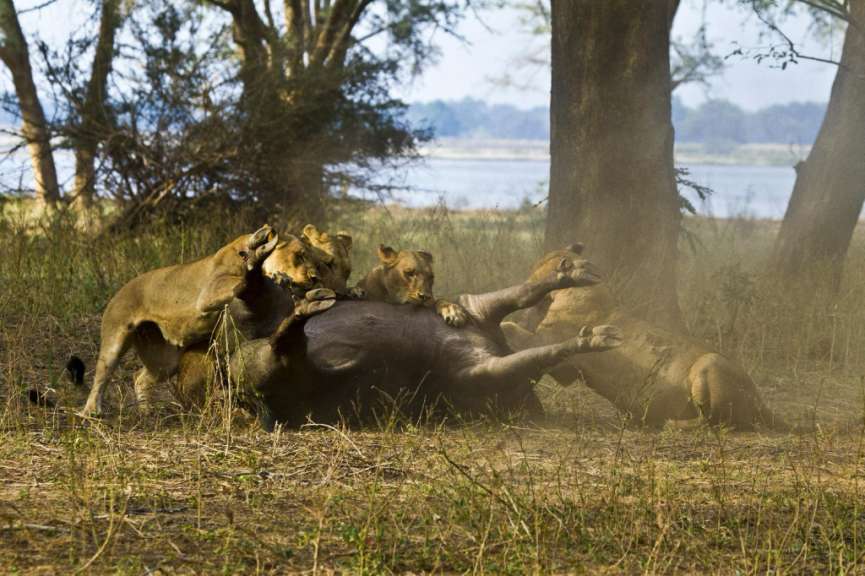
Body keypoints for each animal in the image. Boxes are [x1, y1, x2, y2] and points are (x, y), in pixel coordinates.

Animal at [502, 245, 788, 431]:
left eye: (531, 277)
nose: (521, 289)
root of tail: (760, 400)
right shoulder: (565, 370)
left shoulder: (552, 348)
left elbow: (511, 327)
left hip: (709, 363)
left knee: (718, 422)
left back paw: (671, 423)